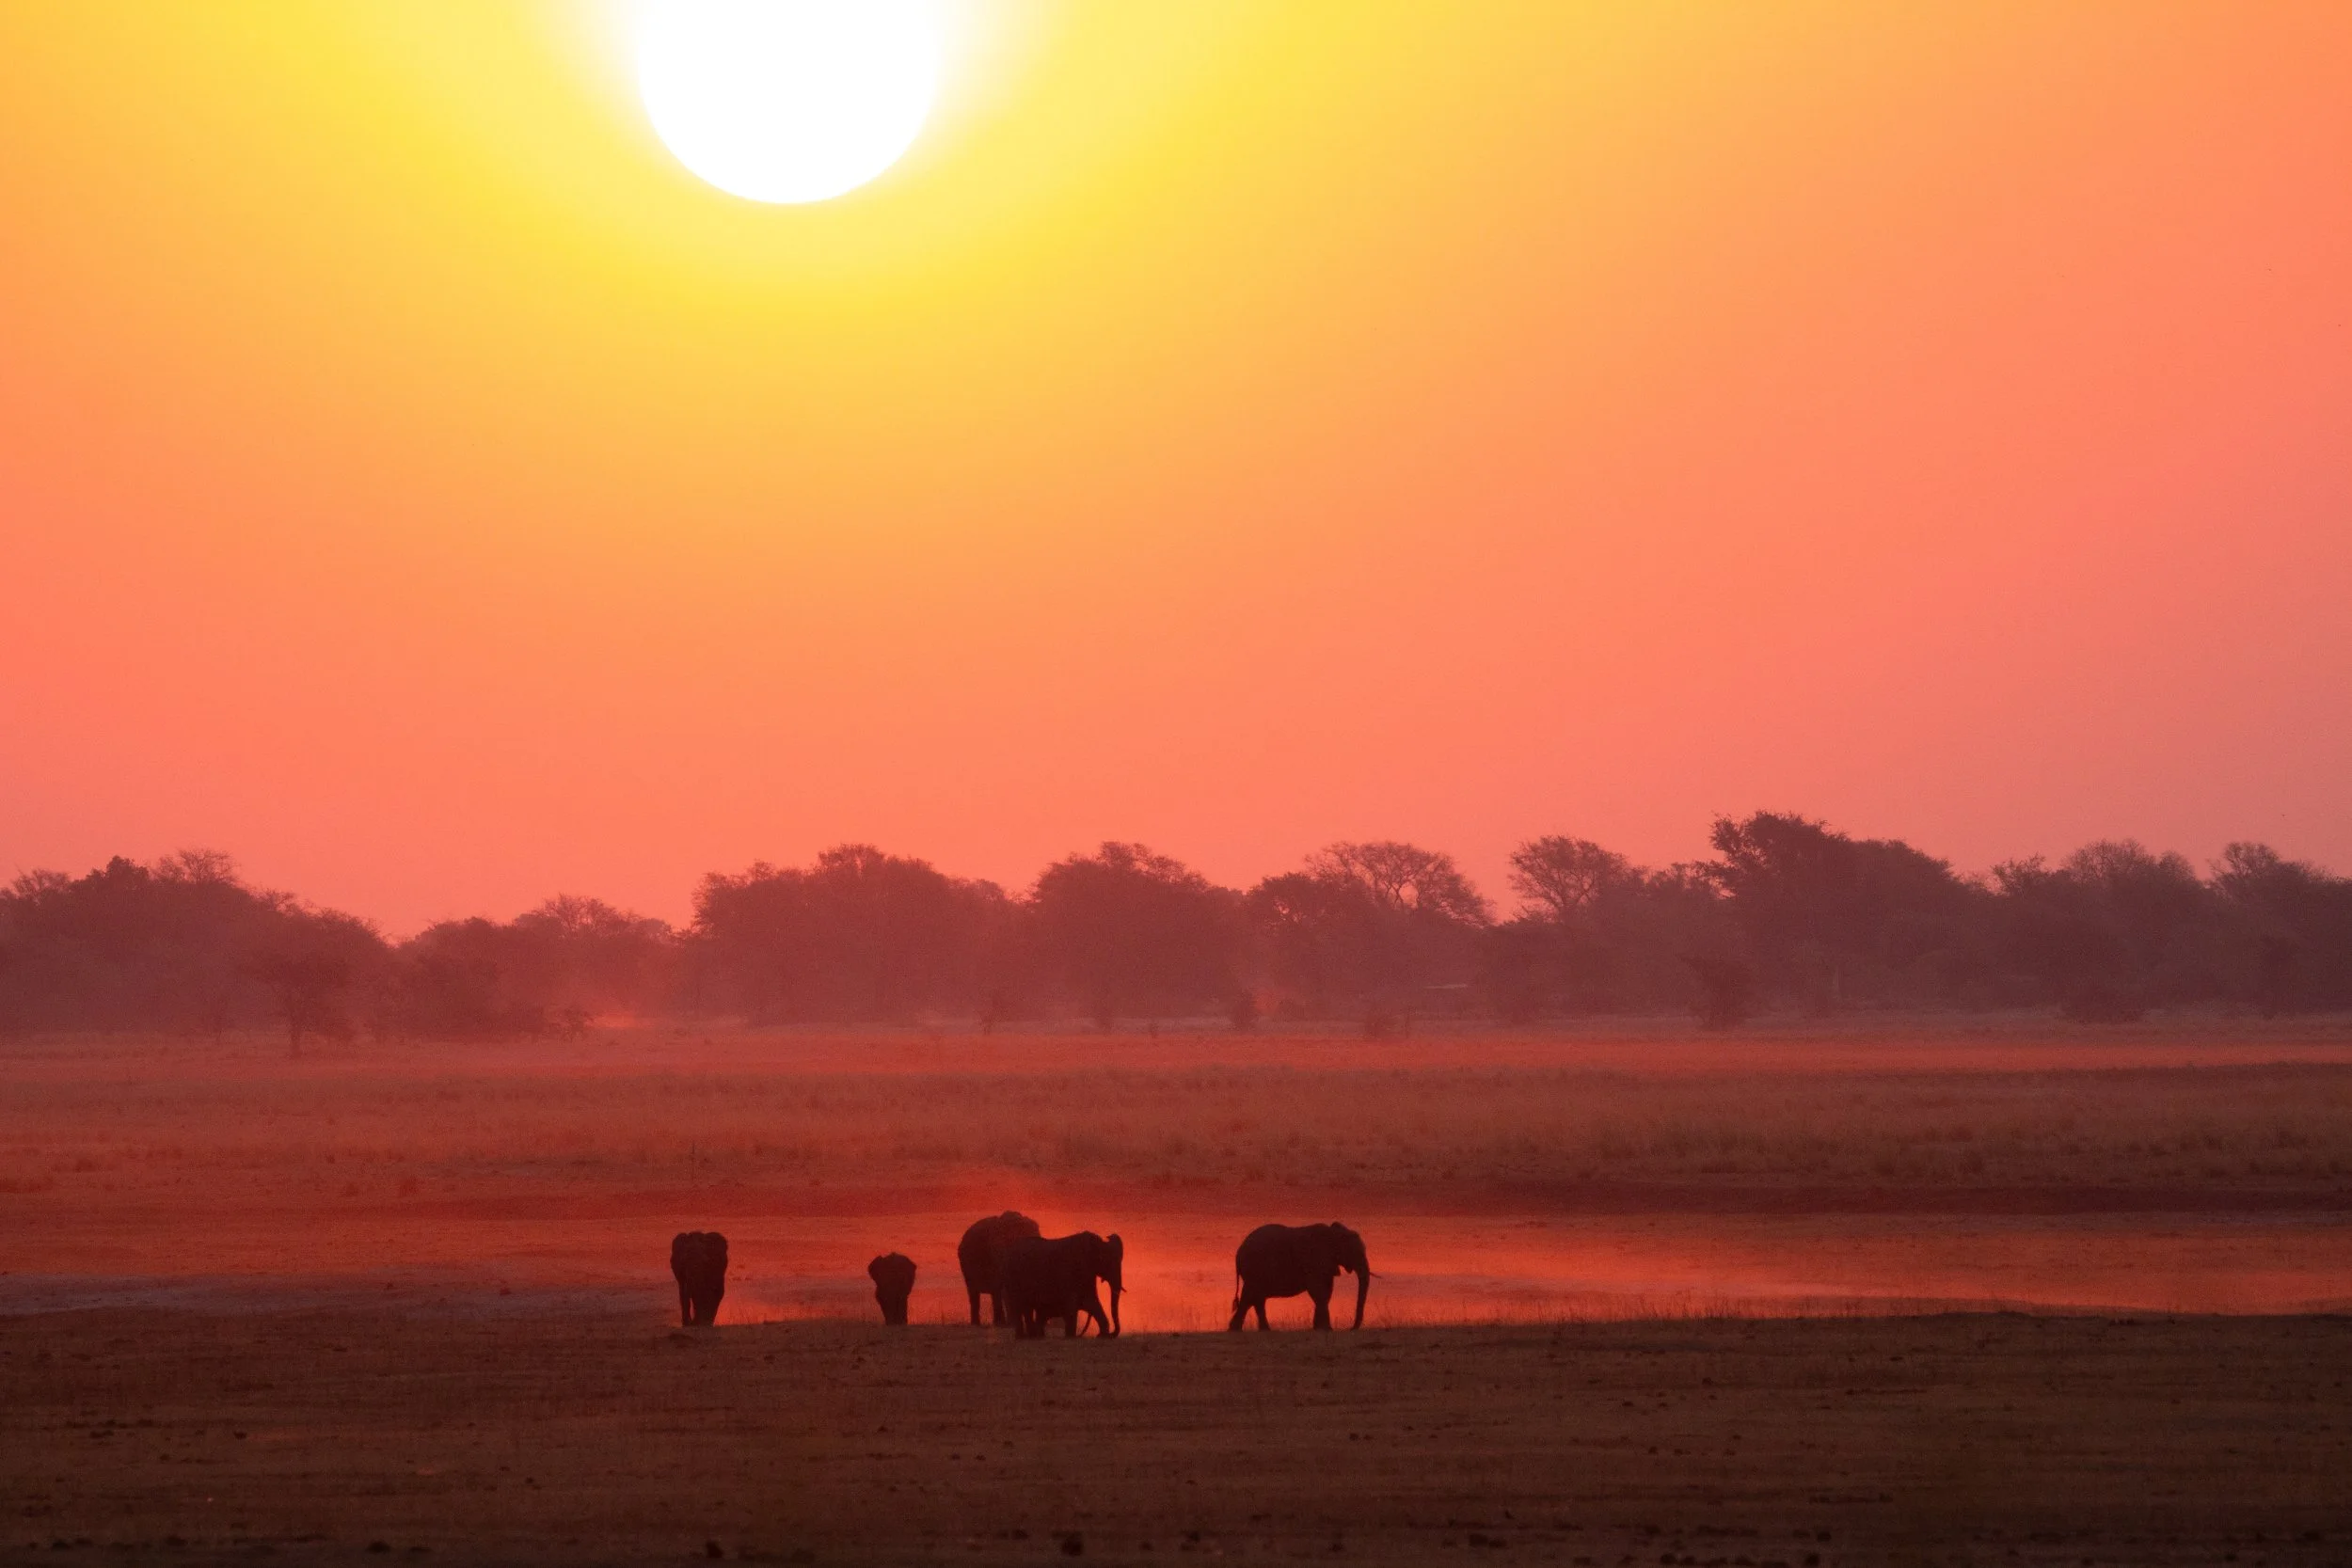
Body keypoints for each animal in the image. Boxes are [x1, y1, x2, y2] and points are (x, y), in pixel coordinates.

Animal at [999, 1231, 1123, 1339]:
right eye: (1106, 1261)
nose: (1112, 1334)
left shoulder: (1086, 1275)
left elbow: (1091, 1302)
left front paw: (1102, 1336)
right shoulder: (1070, 1272)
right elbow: (1073, 1304)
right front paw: (1071, 1337)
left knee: (1026, 1308)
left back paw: (1032, 1337)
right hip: (1012, 1278)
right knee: (1018, 1306)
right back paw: (1023, 1338)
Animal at [1229, 1222, 1369, 1331]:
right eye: (1353, 1251)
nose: (1351, 1329)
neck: (1333, 1233)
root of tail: (1238, 1252)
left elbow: (1327, 1291)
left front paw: (1318, 1329)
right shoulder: (1313, 1260)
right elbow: (1318, 1291)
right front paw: (1327, 1329)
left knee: (1254, 1298)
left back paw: (1259, 1330)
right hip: (1254, 1269)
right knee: (1251, 1296)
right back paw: (1239, 1330)